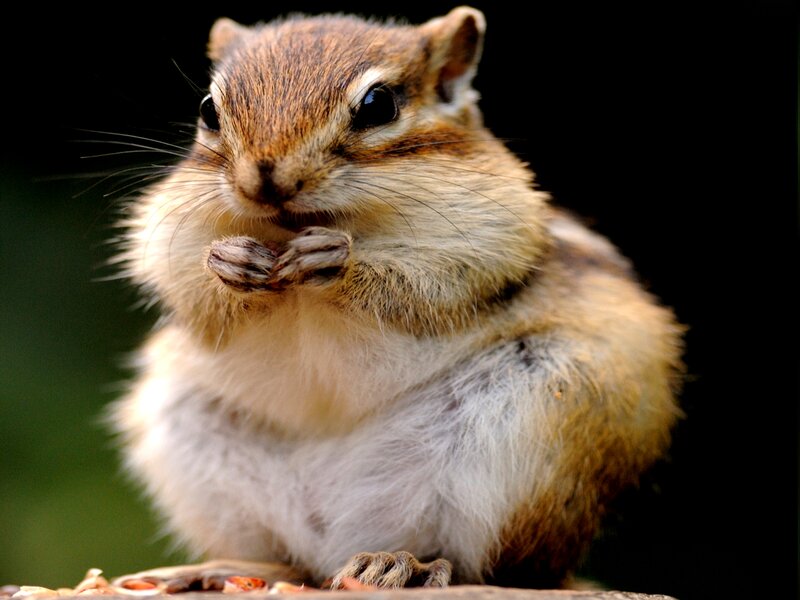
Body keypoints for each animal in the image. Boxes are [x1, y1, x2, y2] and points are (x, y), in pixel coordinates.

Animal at [110, 6, 684, 590]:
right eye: (209, 110)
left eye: (378, 105)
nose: (265, 180)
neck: (293, 230)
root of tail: (340, 540)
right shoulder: (167, 228)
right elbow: (183, 280)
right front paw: (230, 263)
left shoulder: (492, 231)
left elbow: (426, 282)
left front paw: (336, 261)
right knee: (292, 560)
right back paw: (226, 568)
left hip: (542, 419)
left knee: (487, 563)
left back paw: (406, 563)